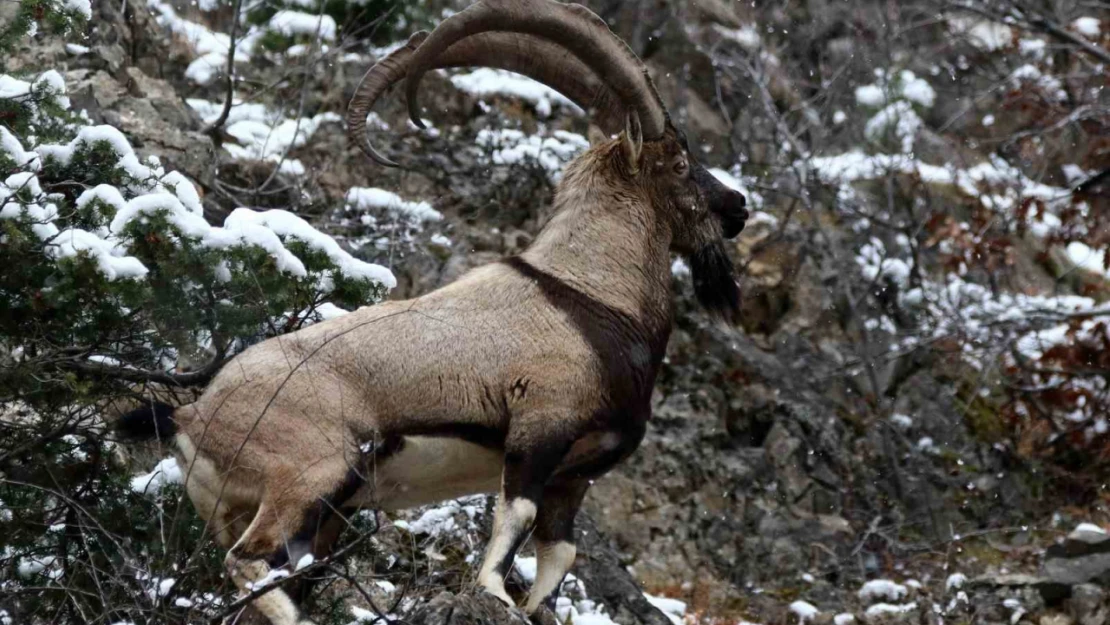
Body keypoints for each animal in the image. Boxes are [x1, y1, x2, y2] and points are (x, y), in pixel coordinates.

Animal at [119, 1, 745, 625]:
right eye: (680, 162)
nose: (736, 207)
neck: (590, 295)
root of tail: (192, 415)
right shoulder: (539, 430)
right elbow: (515, 516)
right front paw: (493, 593)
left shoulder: (575, 476)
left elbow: (560, 550)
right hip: (314, 473)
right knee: (250, 561)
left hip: (306, 508)